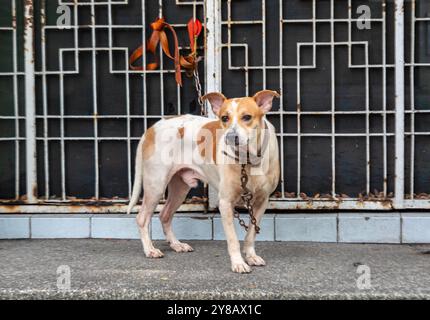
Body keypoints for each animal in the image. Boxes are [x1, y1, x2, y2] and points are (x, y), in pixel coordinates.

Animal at [127, 90, 280, 272]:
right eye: (224, 118)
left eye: (247, 117)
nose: (231, 137)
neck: (247, 160)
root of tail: (152, 128)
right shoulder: (225, 203)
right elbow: (233, 239)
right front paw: (238, 263)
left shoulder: (261, 202)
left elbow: (250, 234)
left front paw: (251, 256)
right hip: (156, 186)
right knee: (142, 218)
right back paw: (149, 249)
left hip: (180, 189)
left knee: (165, 215)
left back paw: (176, 244)